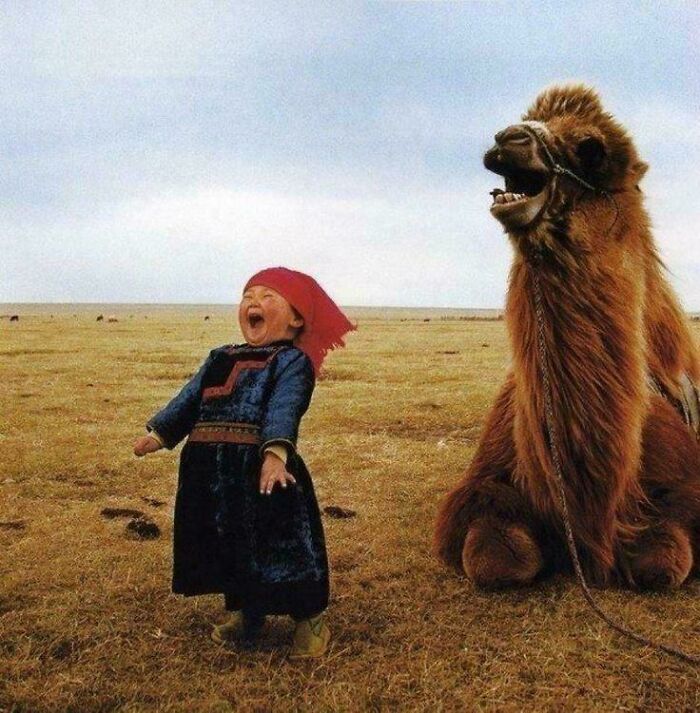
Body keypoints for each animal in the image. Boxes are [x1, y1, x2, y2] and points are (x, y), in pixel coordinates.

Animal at [434, 84, 700, 590]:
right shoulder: (484, 486)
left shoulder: (685, 489)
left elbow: (663, 561)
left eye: (591, 149)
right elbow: (496, 560)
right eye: (522, 119)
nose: (507, 139)